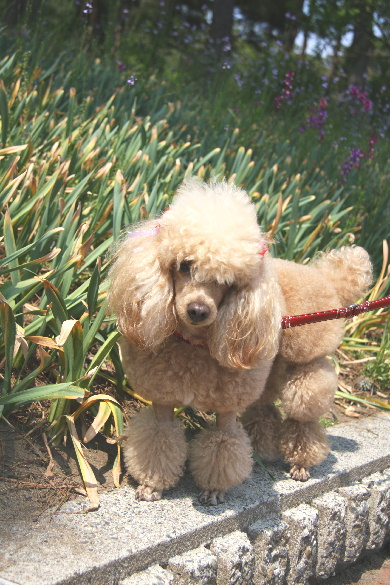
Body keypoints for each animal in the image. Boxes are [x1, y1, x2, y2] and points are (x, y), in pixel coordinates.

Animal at [107, 180, 372, 504]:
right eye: (184, 265)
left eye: (227, 281)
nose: (198, 310)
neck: (195, 343)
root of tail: (326, 277)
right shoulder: (163, 400)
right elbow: (159, 437)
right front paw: (151, 484)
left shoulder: (226, 408)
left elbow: (223, 445)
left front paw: (214, 489)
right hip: (268, 365)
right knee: (264, 407)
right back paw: (262, 448)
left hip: (305, 364)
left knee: (303, 416)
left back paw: (300, 463)